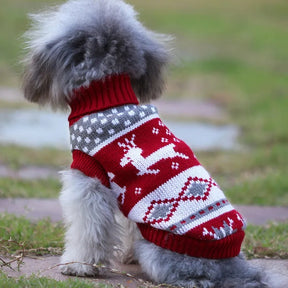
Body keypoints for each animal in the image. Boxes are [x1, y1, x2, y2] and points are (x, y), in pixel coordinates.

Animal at [21, 1, 268, 286]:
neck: (108, 98)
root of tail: (233, 266)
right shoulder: (127, 196)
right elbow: (128, 225)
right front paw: (124, 257)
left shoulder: (90, 179)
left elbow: (88, 230)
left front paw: (78, 266)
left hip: (157, 249)